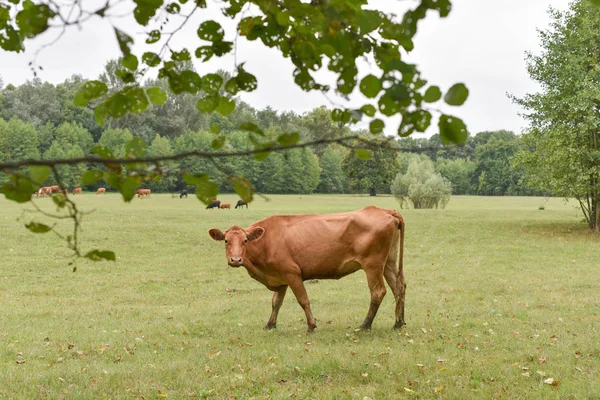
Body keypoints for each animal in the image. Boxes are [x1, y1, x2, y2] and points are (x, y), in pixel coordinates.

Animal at [207, 205, 408, 332]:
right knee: (398, 287)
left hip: (372, 264)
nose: (235, 259)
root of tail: (384, 210)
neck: (267, 241)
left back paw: (365, 325)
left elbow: (303, 300)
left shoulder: (292, 273)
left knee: (378, 292)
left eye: (245, 241)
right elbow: (275, 302)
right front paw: (270, 325)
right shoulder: (279, 278)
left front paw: (311, 325)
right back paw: (398, 323)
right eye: (226, 241)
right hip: (388, 262)